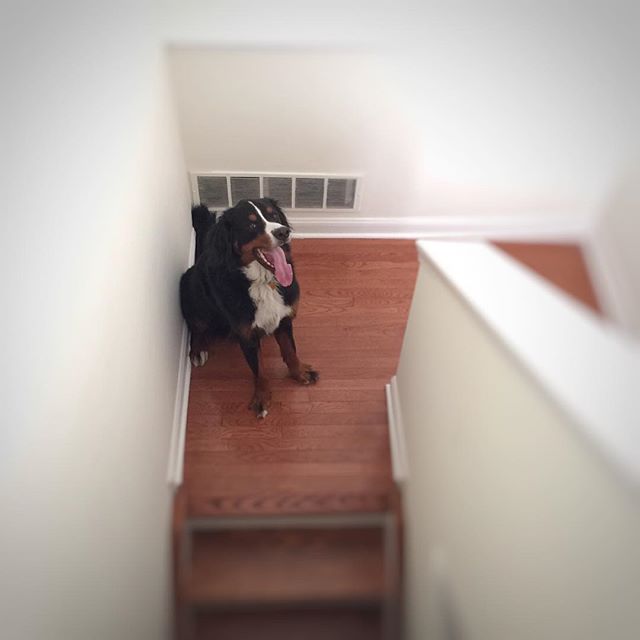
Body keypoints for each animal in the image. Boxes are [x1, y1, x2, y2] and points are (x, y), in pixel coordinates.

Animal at [180, 198, 318, 418]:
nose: (283, 232)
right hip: (193, 293)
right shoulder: (246, 335)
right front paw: (261, 398)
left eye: (274, 215)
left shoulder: (284, 318)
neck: (263, 283)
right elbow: (259, 370)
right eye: (251, 225)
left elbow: (290, 350)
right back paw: (198, 349)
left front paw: (299, 372)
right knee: (197, 326)